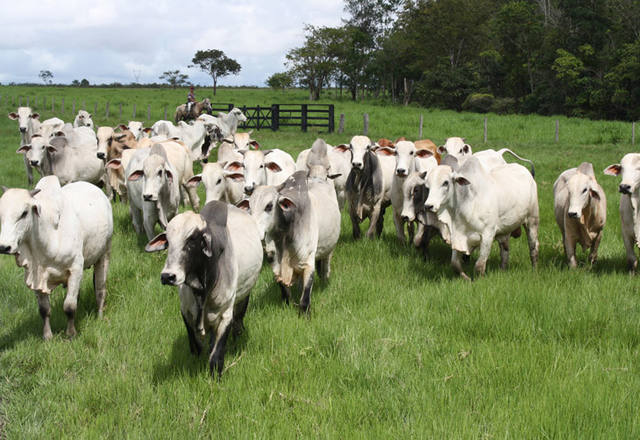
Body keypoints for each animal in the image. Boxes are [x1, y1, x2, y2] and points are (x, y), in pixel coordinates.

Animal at [0, 176, 112, 340]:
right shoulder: (36, 276)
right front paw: (47, 336)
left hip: (104, 254)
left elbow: (69, 306)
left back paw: (100, 316)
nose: (4, 247)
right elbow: (44, 309)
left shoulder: (76, 268)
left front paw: (71, 334)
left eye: (24, 213)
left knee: (100, 289)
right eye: (0, 214)